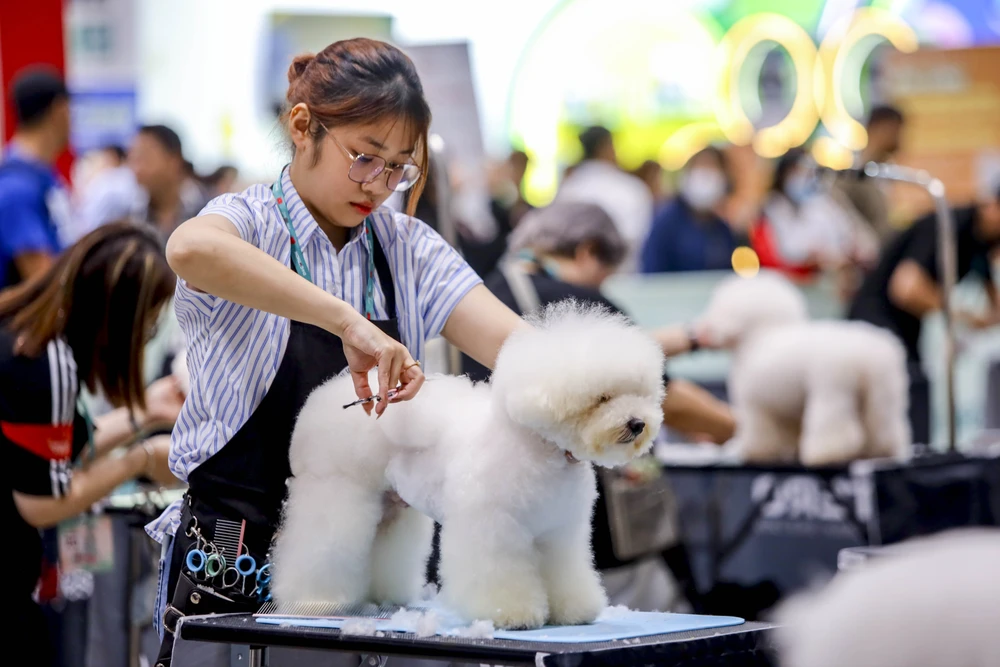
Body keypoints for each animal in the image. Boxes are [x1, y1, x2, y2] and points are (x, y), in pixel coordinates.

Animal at [692, 274, 912, 468]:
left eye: (717, 308)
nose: (700, 331)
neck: (761, 336)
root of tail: (866, 356)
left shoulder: (755, 405)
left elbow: (761, 433)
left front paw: (757, 453)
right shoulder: (788, 410)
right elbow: (791, 431)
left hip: (831, 392)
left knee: (836, 429)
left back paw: (826, 454)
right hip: (881, 393)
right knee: (883, 427)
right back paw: (880, 452)